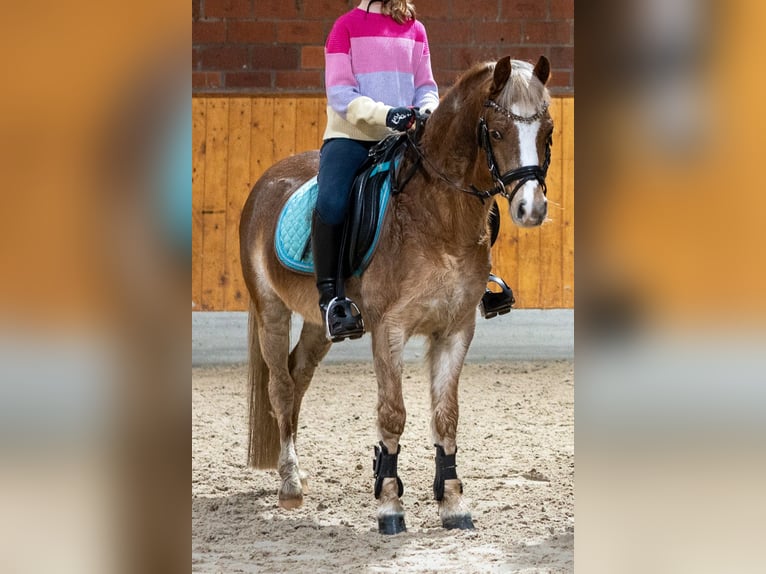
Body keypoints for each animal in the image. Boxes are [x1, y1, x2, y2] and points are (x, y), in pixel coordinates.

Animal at [239, 55, 553, 534]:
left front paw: (453, 504)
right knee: (280, 385)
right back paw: (290, 484)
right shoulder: (389, 330)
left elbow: (446, 417)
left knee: (298, 377)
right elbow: (393, 415)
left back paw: (295, 470)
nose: (530, 209)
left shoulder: (456, 329)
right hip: (271, 309)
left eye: (547, 131)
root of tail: (266, 181)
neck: (438, 217)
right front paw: (389, 506)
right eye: (497, 132)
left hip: (319, 323)